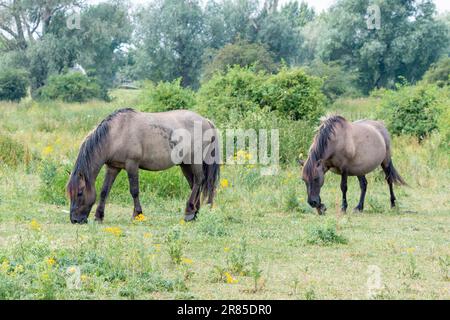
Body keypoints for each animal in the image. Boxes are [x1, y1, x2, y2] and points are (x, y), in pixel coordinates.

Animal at [67, 109, 220, 224]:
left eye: (80, 192)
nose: (75, 220)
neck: (116, 133)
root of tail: (206, 120)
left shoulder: (132, 165)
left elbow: (134, 191)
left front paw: (137, 214)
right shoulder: (112, 167)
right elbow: (105, 191)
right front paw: (99, 216)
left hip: (195, 160)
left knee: (199, 180)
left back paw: (189, 212)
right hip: (185, 164)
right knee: (194, 184)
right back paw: (194, 212)